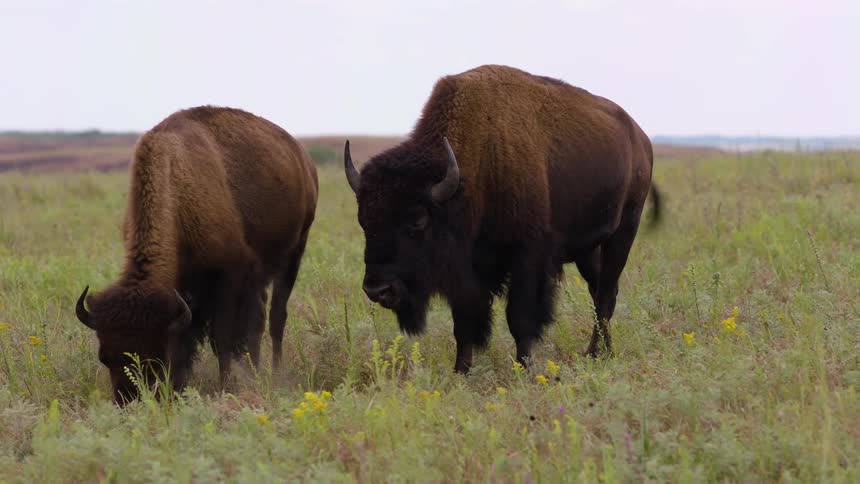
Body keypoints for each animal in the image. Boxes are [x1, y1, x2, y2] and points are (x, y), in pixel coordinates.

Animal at [76, 106, 318, 403]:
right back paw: (255, 370)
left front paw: (225, 387)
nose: (128, 400)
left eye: (154, 357)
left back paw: (274, 372)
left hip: (295, 252)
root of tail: (302, 156)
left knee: (276, 317)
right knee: (259, 318)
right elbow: (186, 338)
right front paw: (178, 388)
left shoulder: (229, 277)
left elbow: (222, 337)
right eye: (105, 357)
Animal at [344, 65, 661, 372]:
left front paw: (523, 369)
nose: (377, 289)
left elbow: (519, 317)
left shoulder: (527, 257)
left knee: (605, 295)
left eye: (417, 221)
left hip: (624, 231)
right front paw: (461, 371)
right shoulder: (467, 268)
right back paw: (605, 353)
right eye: (364, 222)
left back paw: (594, 354)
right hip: (587, 249)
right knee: (601, 293)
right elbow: (464, 320)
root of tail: (641, 139)